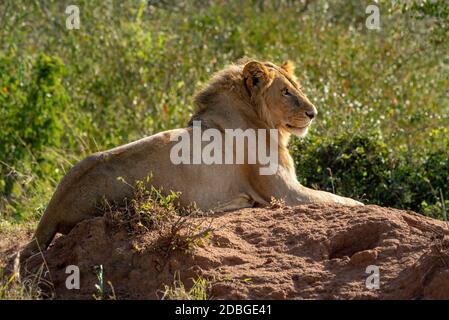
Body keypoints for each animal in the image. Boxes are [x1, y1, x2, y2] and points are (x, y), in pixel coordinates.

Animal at [19, 58, 362, 262]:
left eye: (297, 89)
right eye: (286, 92)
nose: (313, 113)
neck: (256, 116)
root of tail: (53, 206)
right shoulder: (284, 193)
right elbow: (343, 201)